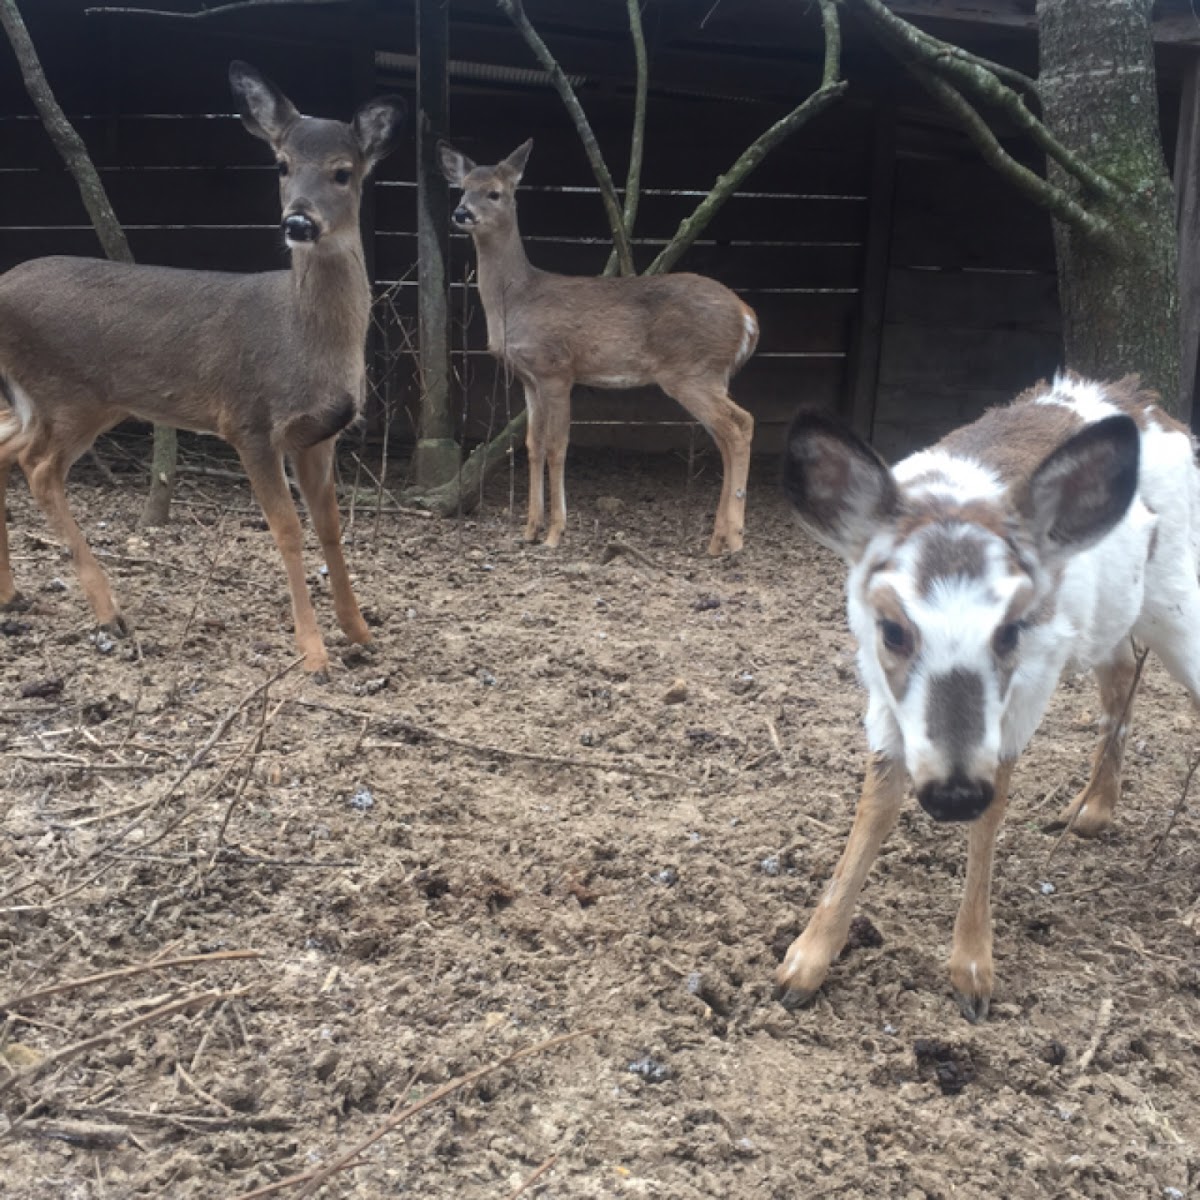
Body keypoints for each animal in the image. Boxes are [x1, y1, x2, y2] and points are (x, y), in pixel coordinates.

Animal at [0, 63, 408, 676]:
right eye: (282, 164)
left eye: (343, 171)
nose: (298, 222)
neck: (302, 339)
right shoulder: (249, 422)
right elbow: (288, 530)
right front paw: (312, 652)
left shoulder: (321, 435)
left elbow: (333, 528)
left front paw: (361, 633)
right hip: (67, 395)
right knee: (37, 466)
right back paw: (109, 613)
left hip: (61, 401)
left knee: (7, 447)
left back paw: (12, 594)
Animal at [441, 139, 758, 552]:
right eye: (462, 188)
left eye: (494, 192)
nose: (461, 212)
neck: (519, 299)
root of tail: (747, 315)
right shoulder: (528, 378)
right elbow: (532, 445)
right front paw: (529, 529)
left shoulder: (557, 368)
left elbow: (557, 446)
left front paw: (555, 533)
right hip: (712, 375)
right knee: (728, 433)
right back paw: (718, 539)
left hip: (692, 371)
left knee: (739, 426)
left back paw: (734, 540)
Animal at [772, 374, 1200, 1022]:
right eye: (891, 629)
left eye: (1011, 629)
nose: (952, 795)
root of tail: (1151, 406)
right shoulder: (881, 692)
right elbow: (878, 800)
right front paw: (803, 963)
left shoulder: (1030, 683)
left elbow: (994, 798)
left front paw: (972, 971)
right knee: (1123, 667)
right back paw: (1091, 810)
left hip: (1177, 594)